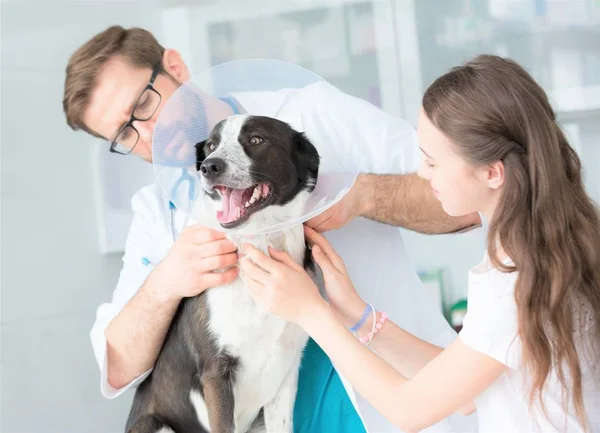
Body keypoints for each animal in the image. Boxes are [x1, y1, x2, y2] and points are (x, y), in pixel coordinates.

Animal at [125, 115, 324, 432]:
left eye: (256, 139)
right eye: (210, 145)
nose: (209, 166)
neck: (259, 245)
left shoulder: (286, 373)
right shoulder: (216, 373)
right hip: (153, 423)